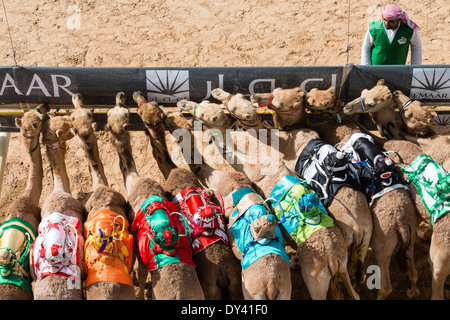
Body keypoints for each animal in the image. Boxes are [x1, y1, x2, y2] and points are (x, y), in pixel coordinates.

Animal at [131, 90, 243, 300]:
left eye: (141, 113)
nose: (137, 94)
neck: (172, 169)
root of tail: (223, 271)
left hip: (210, 289)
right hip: (236, 286)